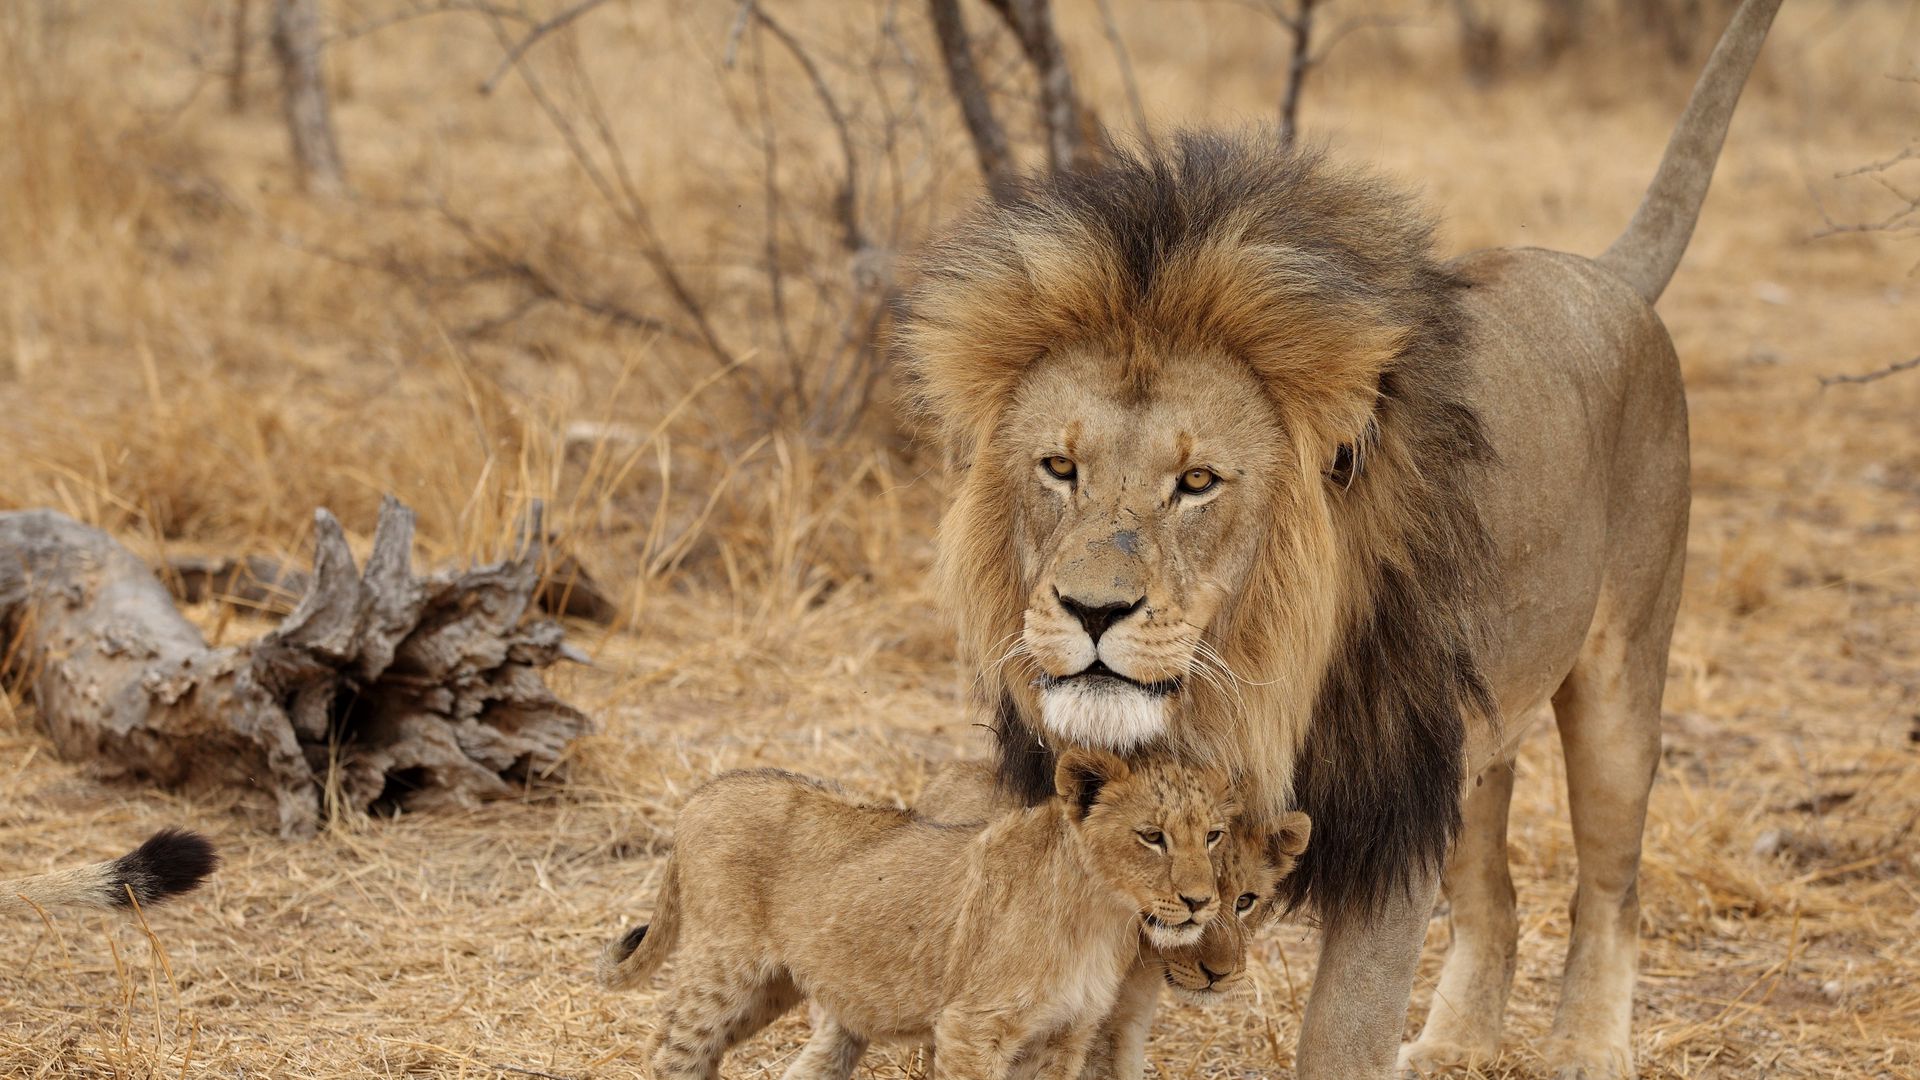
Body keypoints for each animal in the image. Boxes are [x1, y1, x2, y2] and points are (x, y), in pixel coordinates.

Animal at [898, 4, 1781, 1068]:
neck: (1242, 692)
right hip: (1475, 745)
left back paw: (1586, 1051)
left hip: (1619, 683)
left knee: (1612, 885)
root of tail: (1600, 272)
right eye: (1059, 469)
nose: (1091, 610)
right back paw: (1453, 1048)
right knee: (1495, 901)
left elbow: (1341, 1036)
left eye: (1197, 483)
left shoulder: (1393, 816)